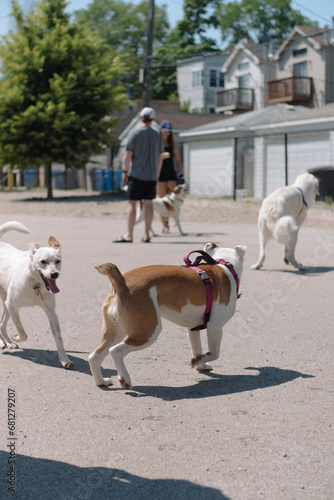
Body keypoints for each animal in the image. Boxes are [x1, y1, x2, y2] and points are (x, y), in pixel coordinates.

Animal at [0, 221, 73, 370]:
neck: (35, 284)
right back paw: (3, 342)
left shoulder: (52, 313)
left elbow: (59, 339)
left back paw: (8, 342)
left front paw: (65, 360)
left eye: (58, 261)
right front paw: (16, 336)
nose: (54, 274)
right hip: (8, 306)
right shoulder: (13, 306)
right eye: (43, 261)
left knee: (2, 324)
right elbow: (23, 333)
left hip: (6, 306)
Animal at [88, 242, 245, 390]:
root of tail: (121, 282)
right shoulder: (215, 325)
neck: (223, 264)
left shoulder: (193, 328)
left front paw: (201, 364)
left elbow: (197, 349)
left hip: (115, 332)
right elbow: (214, 353)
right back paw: (125, 380)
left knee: (94, 357)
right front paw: (199, 361)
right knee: (115, 351)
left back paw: (101, 382)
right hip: (148, 333)